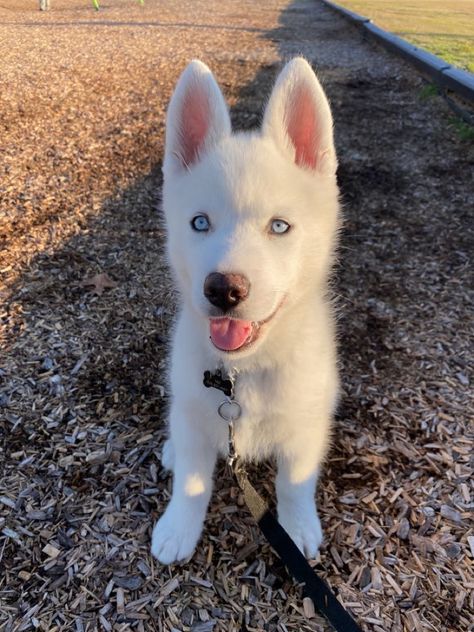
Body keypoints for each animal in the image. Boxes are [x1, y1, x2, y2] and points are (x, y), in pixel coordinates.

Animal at [152, 58, 340, 564]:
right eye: (199, 222)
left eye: (280, 226)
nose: (223, 289)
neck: (244, 373)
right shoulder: (197, 417)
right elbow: (192, 481)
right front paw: (178, 527)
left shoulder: (305, 428)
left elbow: (295, 483)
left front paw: (298, 526)